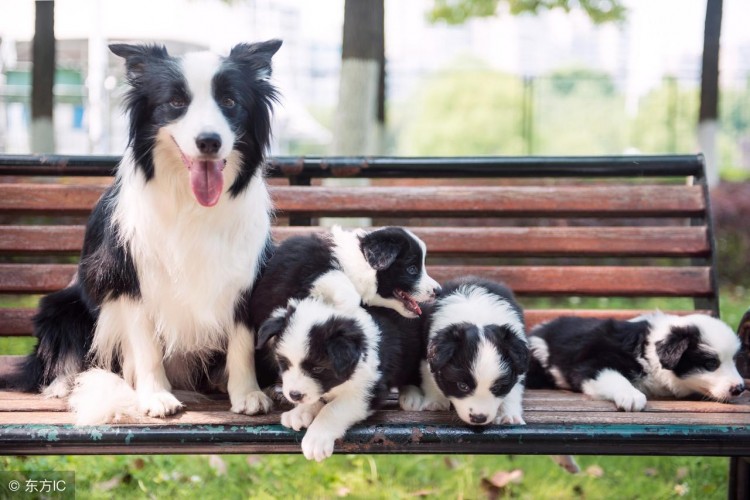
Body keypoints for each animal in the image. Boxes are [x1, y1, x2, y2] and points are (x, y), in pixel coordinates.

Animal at [1, 39, 282, 424]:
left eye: (229, 101)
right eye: (176, 102)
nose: (209, 141)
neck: (190, 204)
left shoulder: (244, 275)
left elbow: (241, 341)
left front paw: (247, 393)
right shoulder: (128, 278)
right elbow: (146, 346)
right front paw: (155, 395)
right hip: (62, 308)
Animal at [258, 296, 424, 460]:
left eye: (317, 368)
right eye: (284, 363)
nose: (294, 395)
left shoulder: (370, 390)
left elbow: (333, 409)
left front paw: (316, 438)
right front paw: (299, 413)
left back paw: (412, 396)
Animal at [402, 278, 532, 426]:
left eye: (497, 387)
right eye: (462, 386)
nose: (479, 418)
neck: (478, 316)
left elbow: (513, 390)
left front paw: (508, 416)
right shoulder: (427, 355)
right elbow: (430, 377)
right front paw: (435, 402)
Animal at [524, 312, 748, 410]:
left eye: (734, 361)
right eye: (710, 364)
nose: (740, 388)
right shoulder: (591, 363)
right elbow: (613, 377)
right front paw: (631, 396)